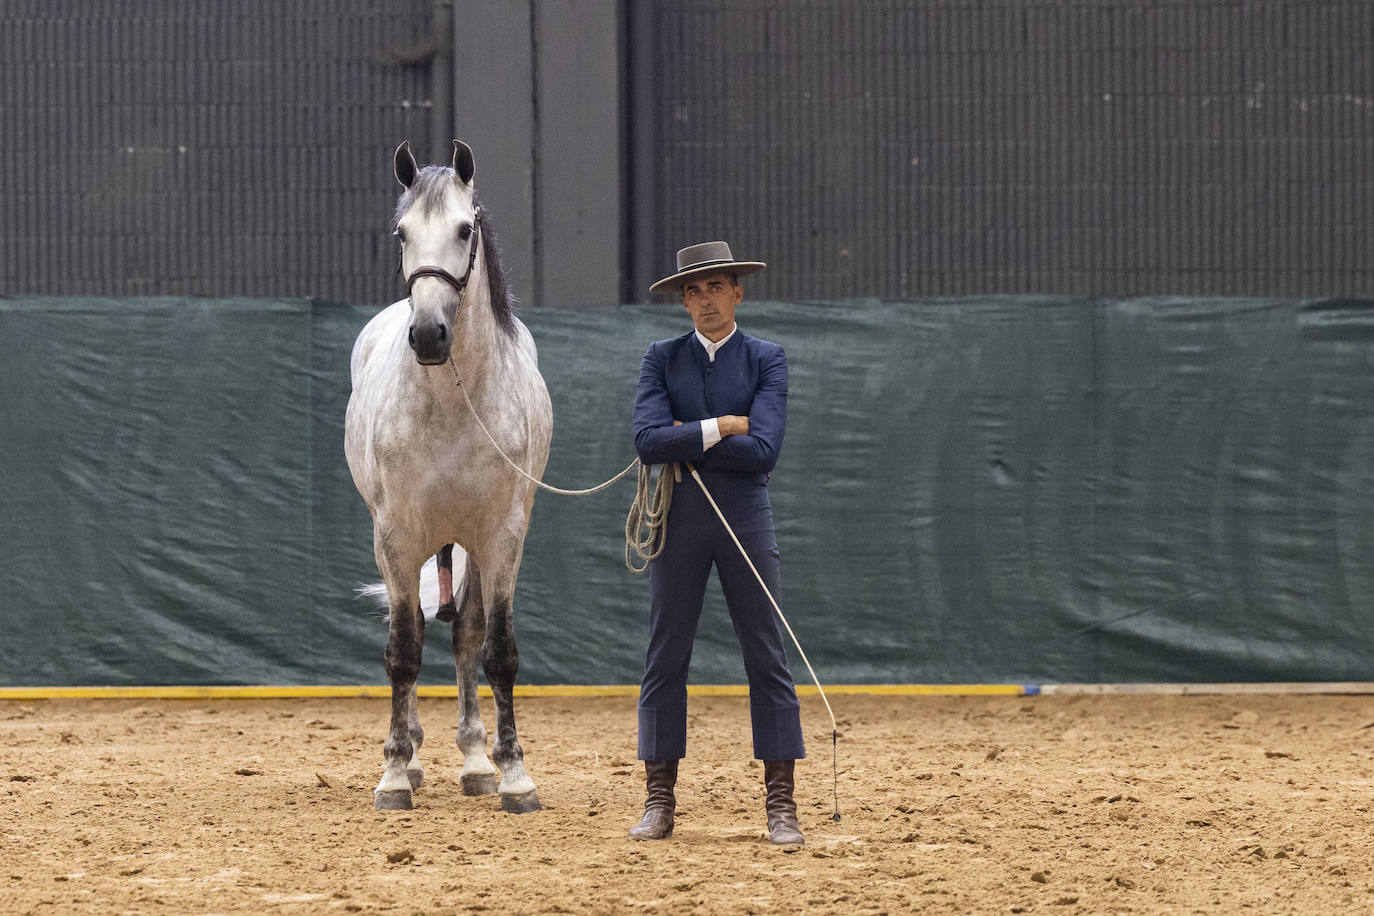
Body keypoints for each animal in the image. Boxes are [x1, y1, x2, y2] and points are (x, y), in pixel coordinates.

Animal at [343, 140, 552, 813]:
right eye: (401, 233)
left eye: (465, 229)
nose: (430, 334)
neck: (452, 405)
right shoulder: (397, 536)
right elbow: (402, 651)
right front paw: (393, 773)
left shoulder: (502, 536)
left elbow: (496, 650)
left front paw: (513, 775)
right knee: (410, 629)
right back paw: (411, 759)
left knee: (465, 635)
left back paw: (476, 761)